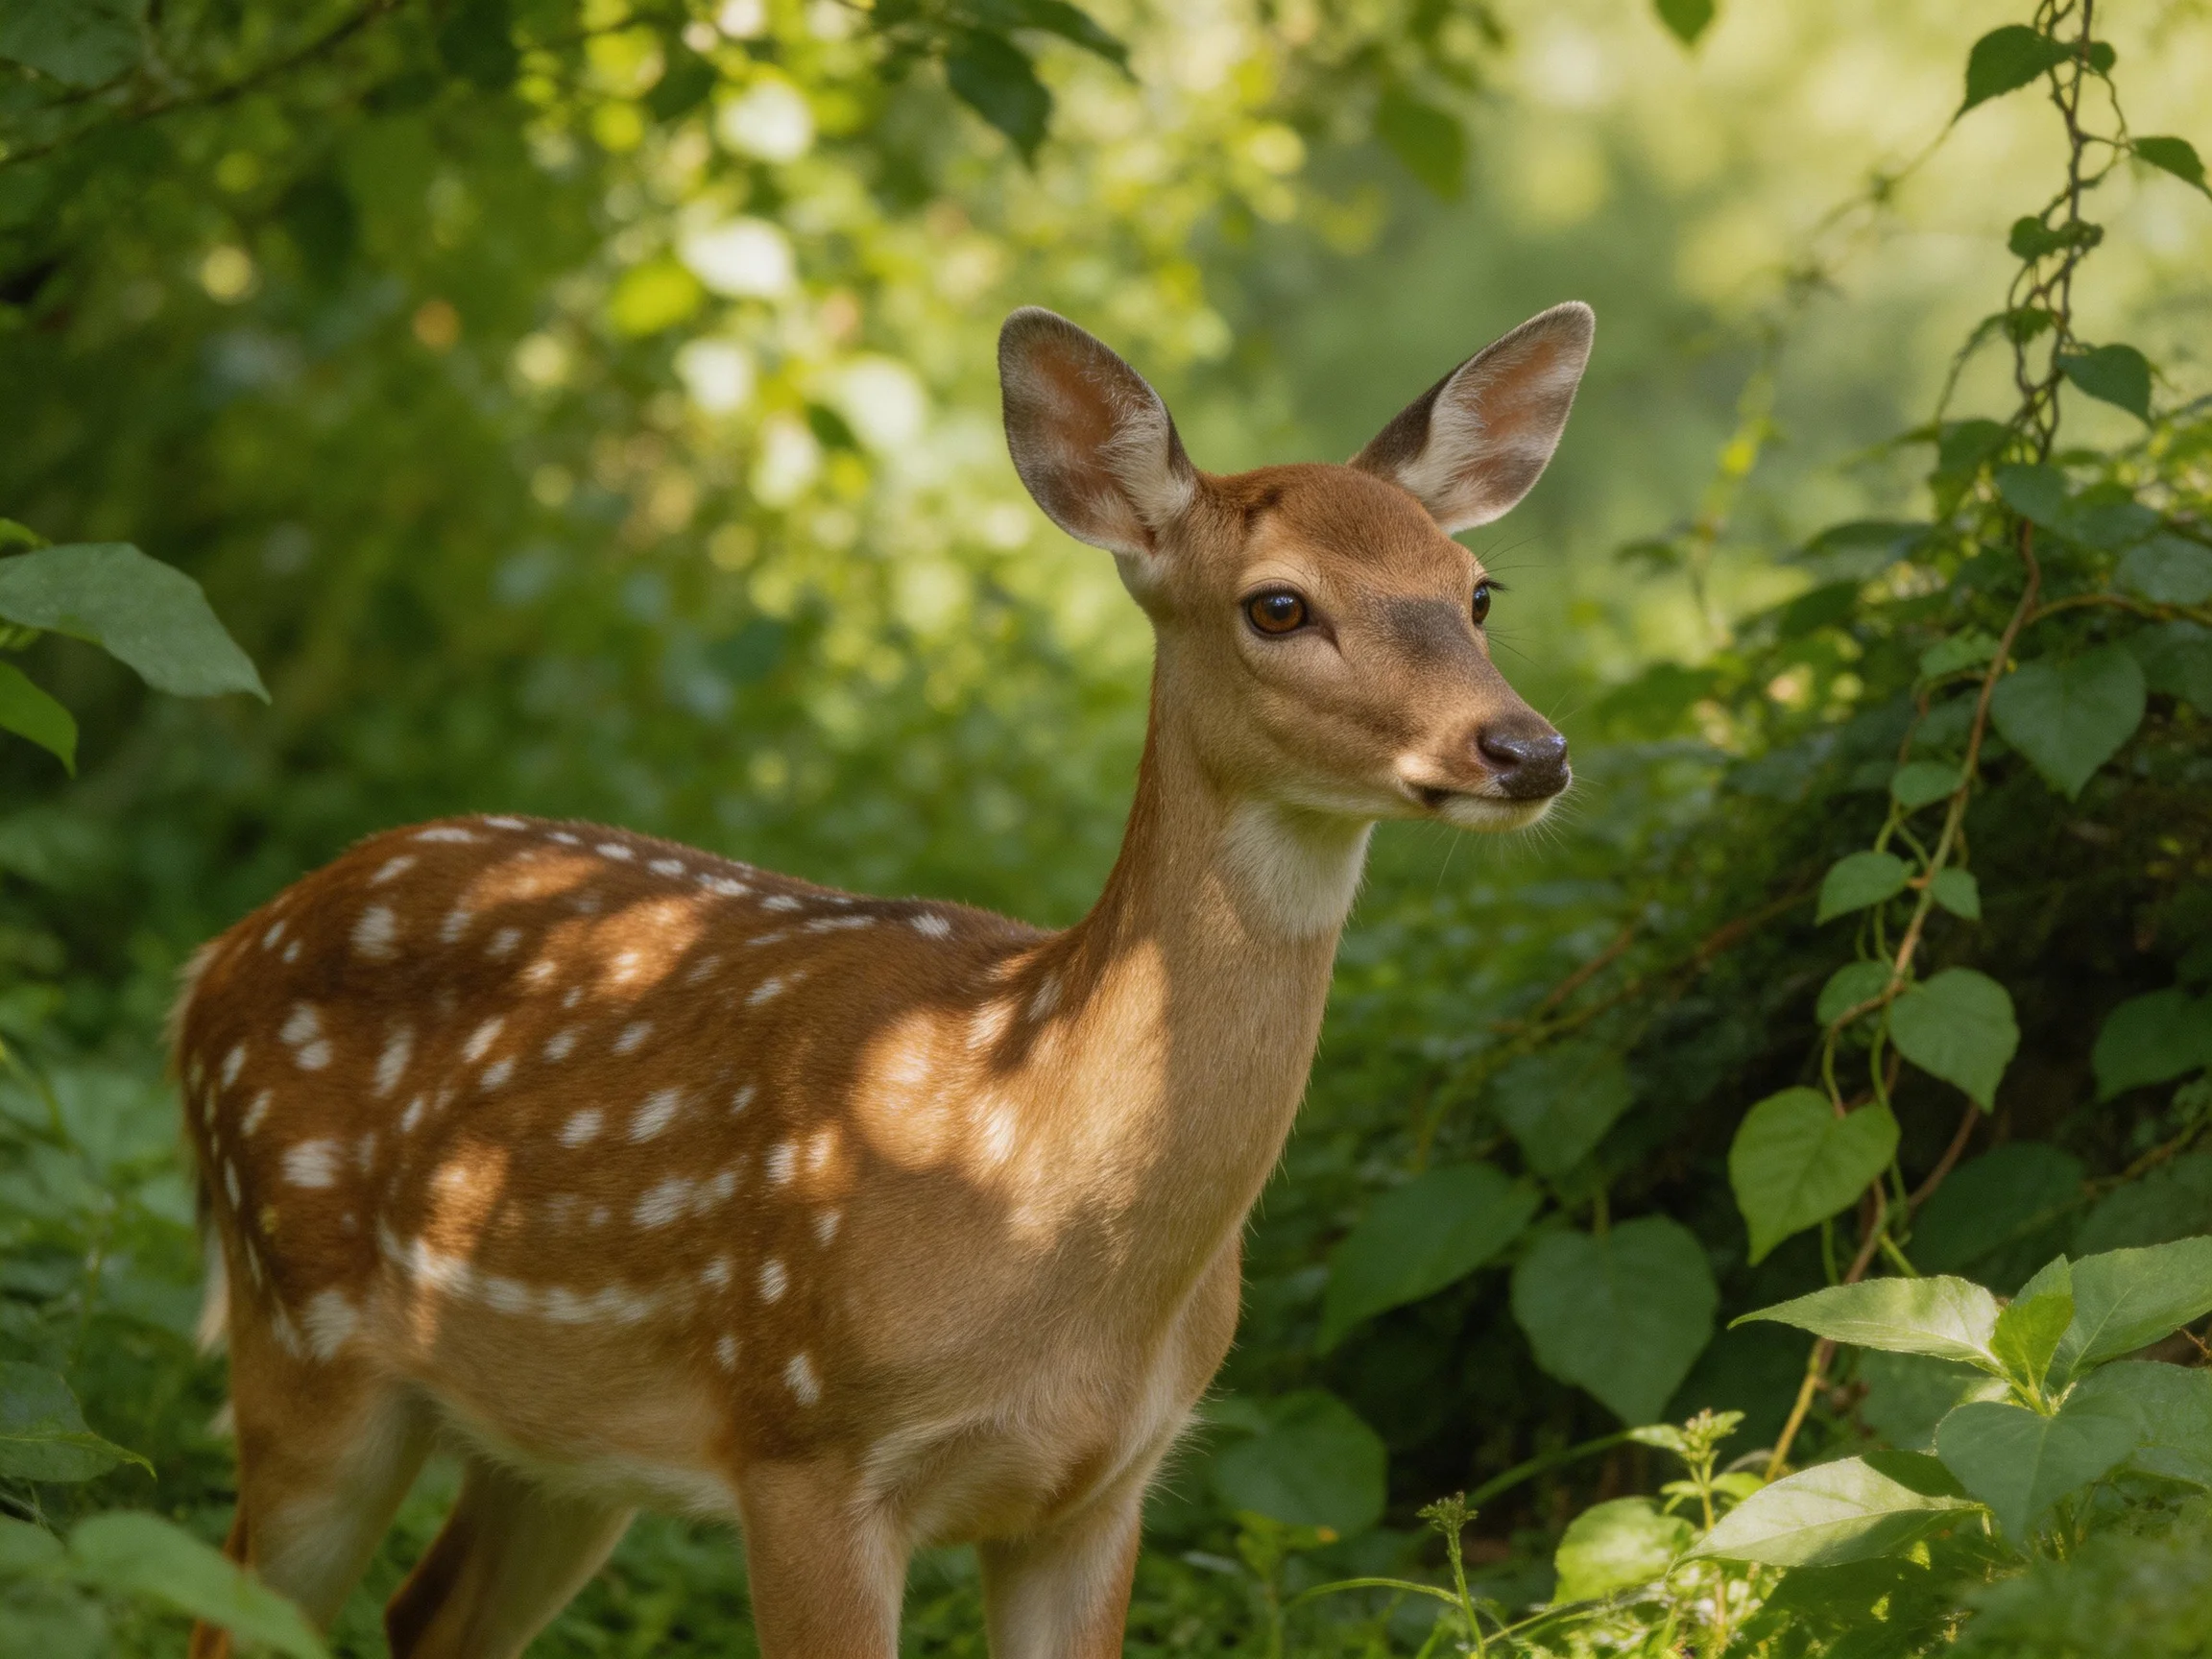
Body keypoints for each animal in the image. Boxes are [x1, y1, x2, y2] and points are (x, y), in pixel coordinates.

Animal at [173, 298, 1591, 1659]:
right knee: (222, 1613)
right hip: (301, 1333)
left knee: (426, 1615)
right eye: (1279, 605)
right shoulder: (806, 1447)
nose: (1527, 750)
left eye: (1476, 591)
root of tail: (209, 965)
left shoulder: (1102, 1491)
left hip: (558, 1437)